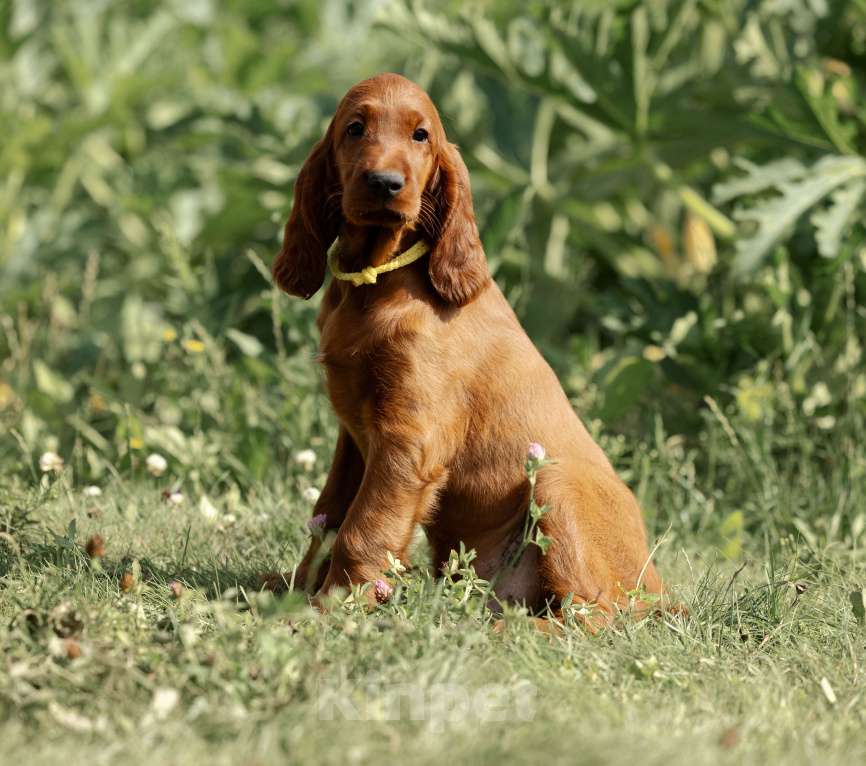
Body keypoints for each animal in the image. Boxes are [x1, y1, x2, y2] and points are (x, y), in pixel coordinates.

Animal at [274, 73, 664, 632]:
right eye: (355, 128)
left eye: (421, 135)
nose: (385, 183)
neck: (379, 280)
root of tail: (660, 592)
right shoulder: (353, 438)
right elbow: (327, 517)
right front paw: (294, 588)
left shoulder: (408, 440)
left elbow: (362, 529)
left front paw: (334, 605)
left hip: (557, 482)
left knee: (591, 616)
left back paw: (506, 631)